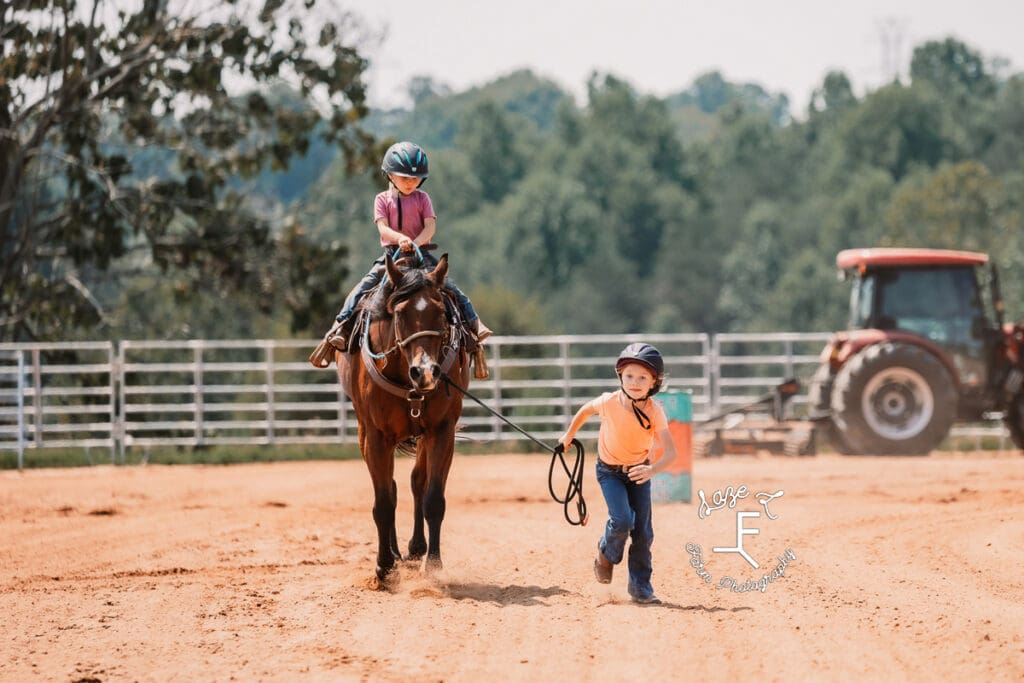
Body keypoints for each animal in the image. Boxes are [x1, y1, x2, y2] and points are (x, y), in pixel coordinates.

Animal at [335, 253, 471, 585]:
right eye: (399, 314)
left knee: (416, 483)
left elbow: (433, 498)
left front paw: (434, 565)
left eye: (441, 312)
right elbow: (383, 502)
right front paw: (384, 566)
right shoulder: (376, 435)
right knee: (392, 488)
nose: (426, 372)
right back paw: (395, 554)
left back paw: (416, 548)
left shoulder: (441, 431)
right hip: (364, 433)